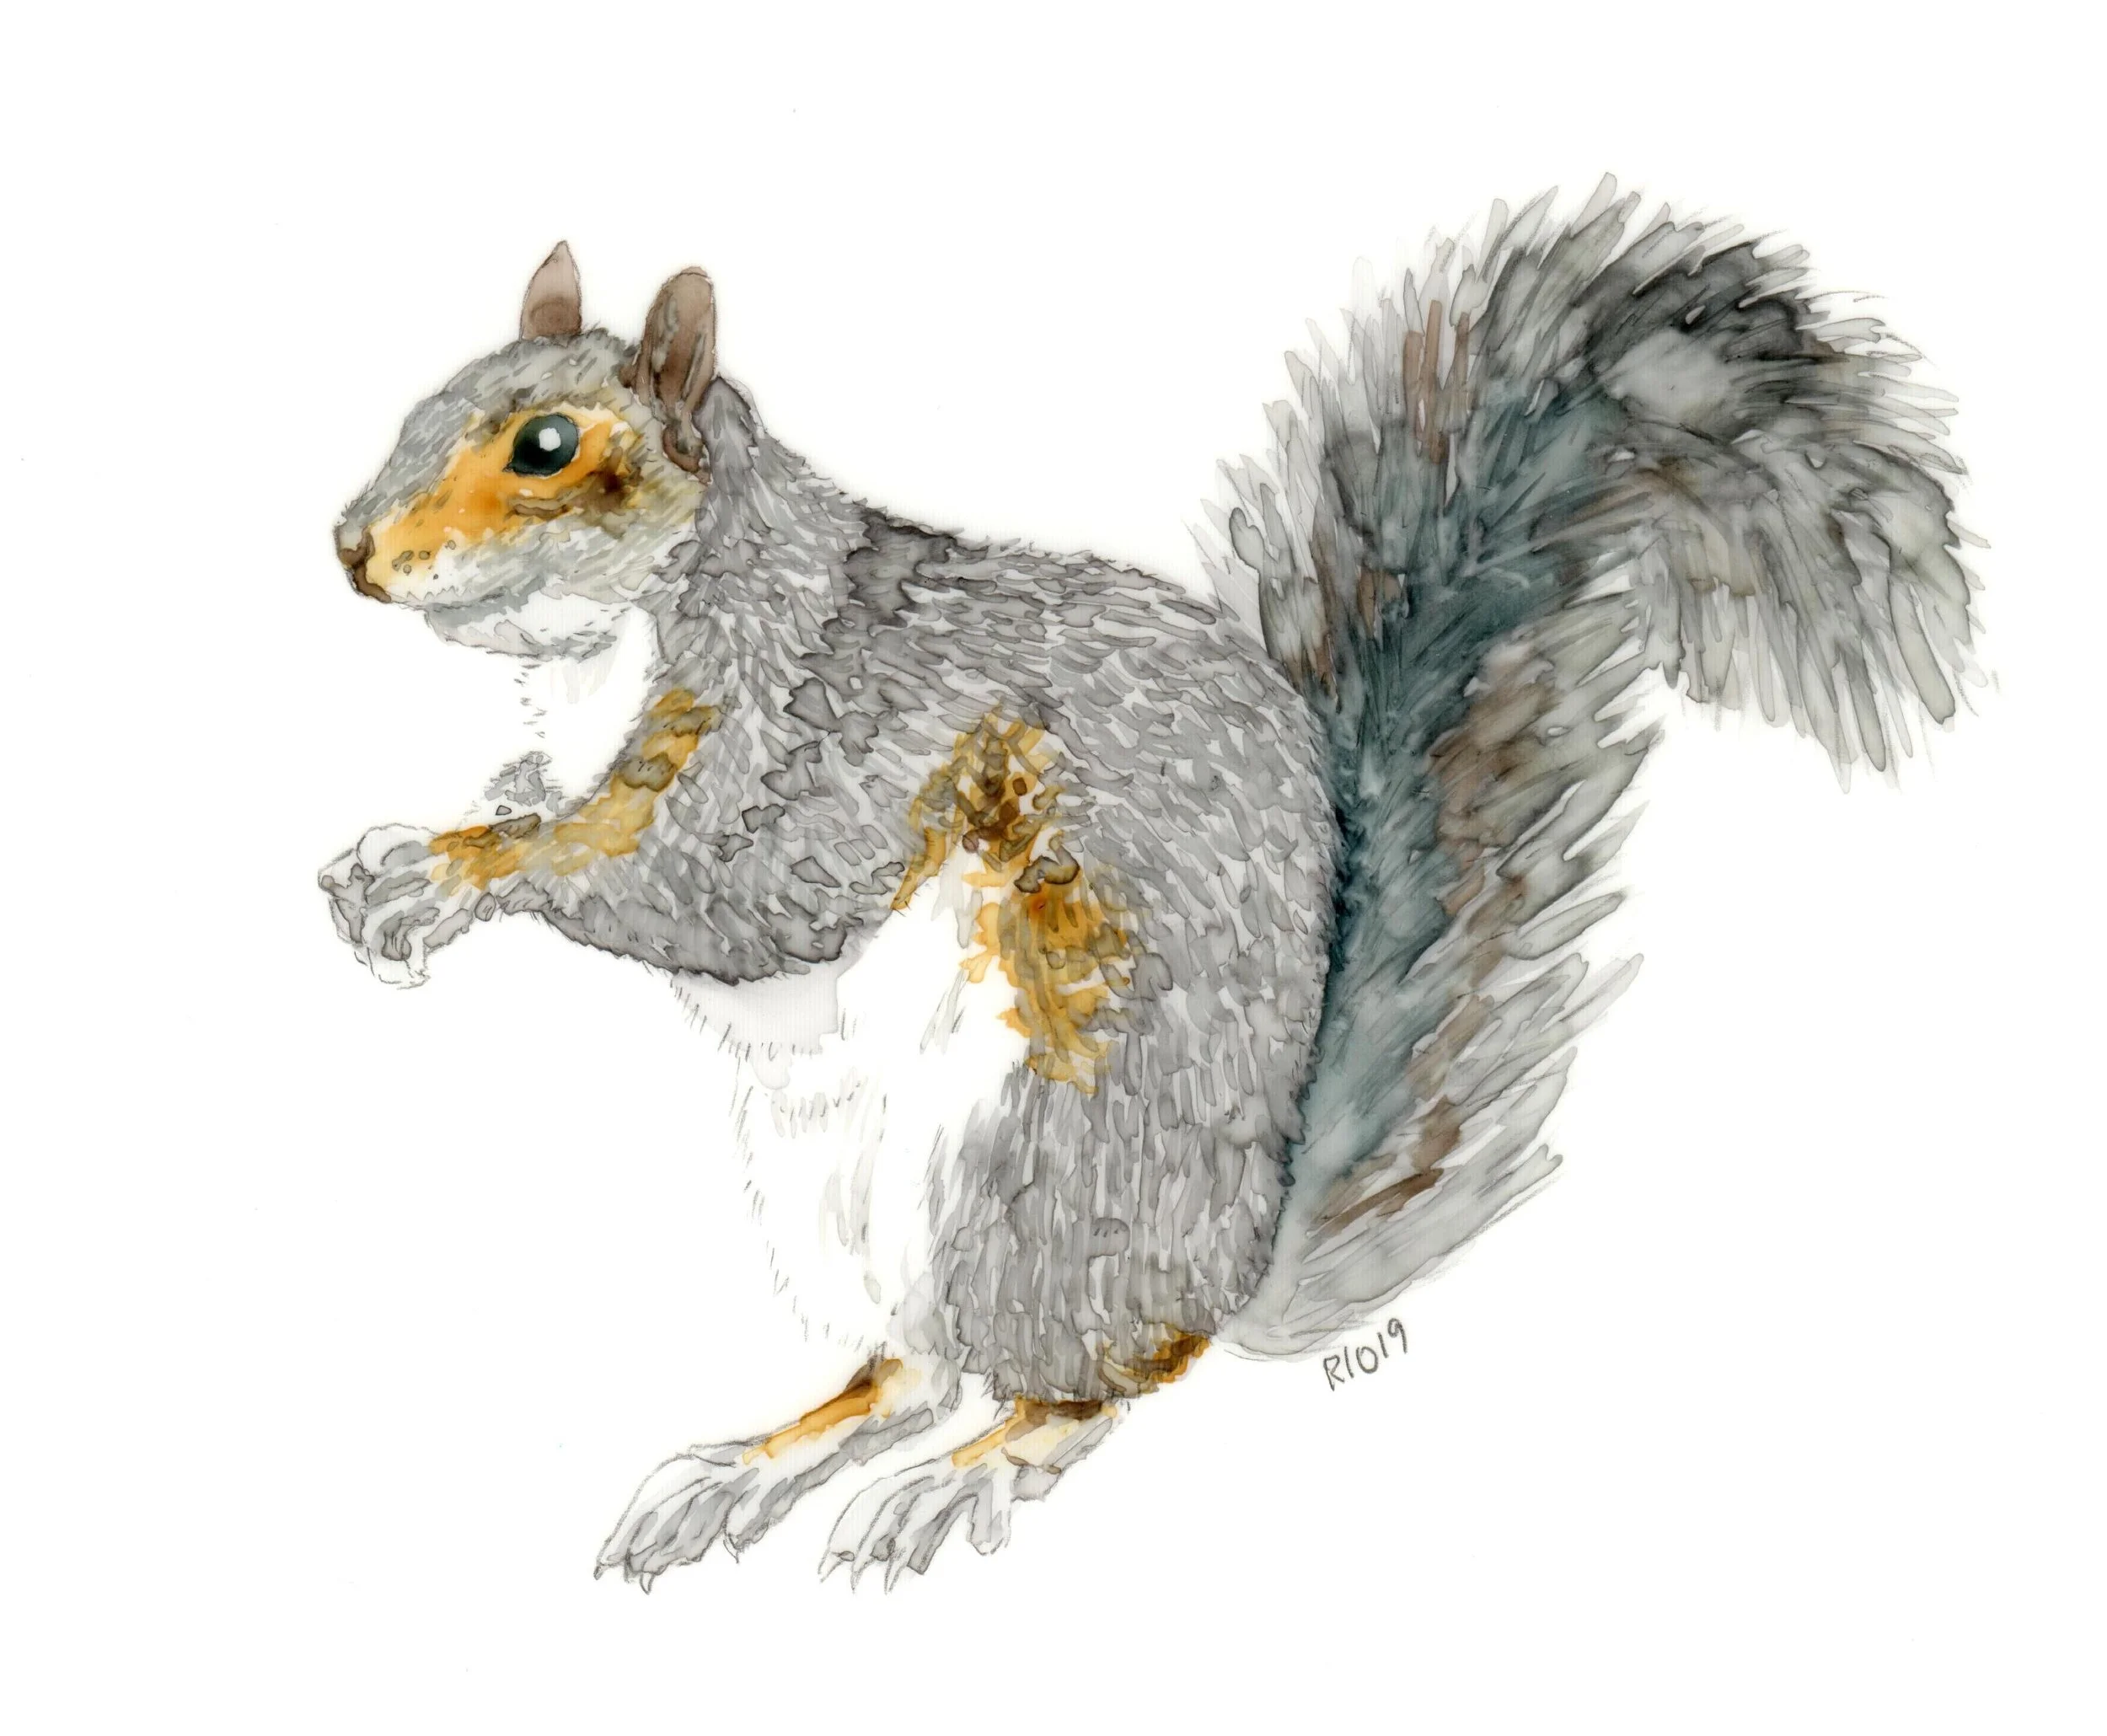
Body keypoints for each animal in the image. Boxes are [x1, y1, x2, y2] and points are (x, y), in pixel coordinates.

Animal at [320, 184, 1975, 1589]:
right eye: (427, 403)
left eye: (545, 446)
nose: (349, 548)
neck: (607, 656)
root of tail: (1231, 1270)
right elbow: (544, 798)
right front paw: (431, 836)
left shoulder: (824, 741)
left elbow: (686, 882)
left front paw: (454, 874)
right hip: (832, 1202)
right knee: (908, 1371)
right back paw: (751, 1466)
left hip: (1026, 1175)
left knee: (1078, 1393)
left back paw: (962, 1476)